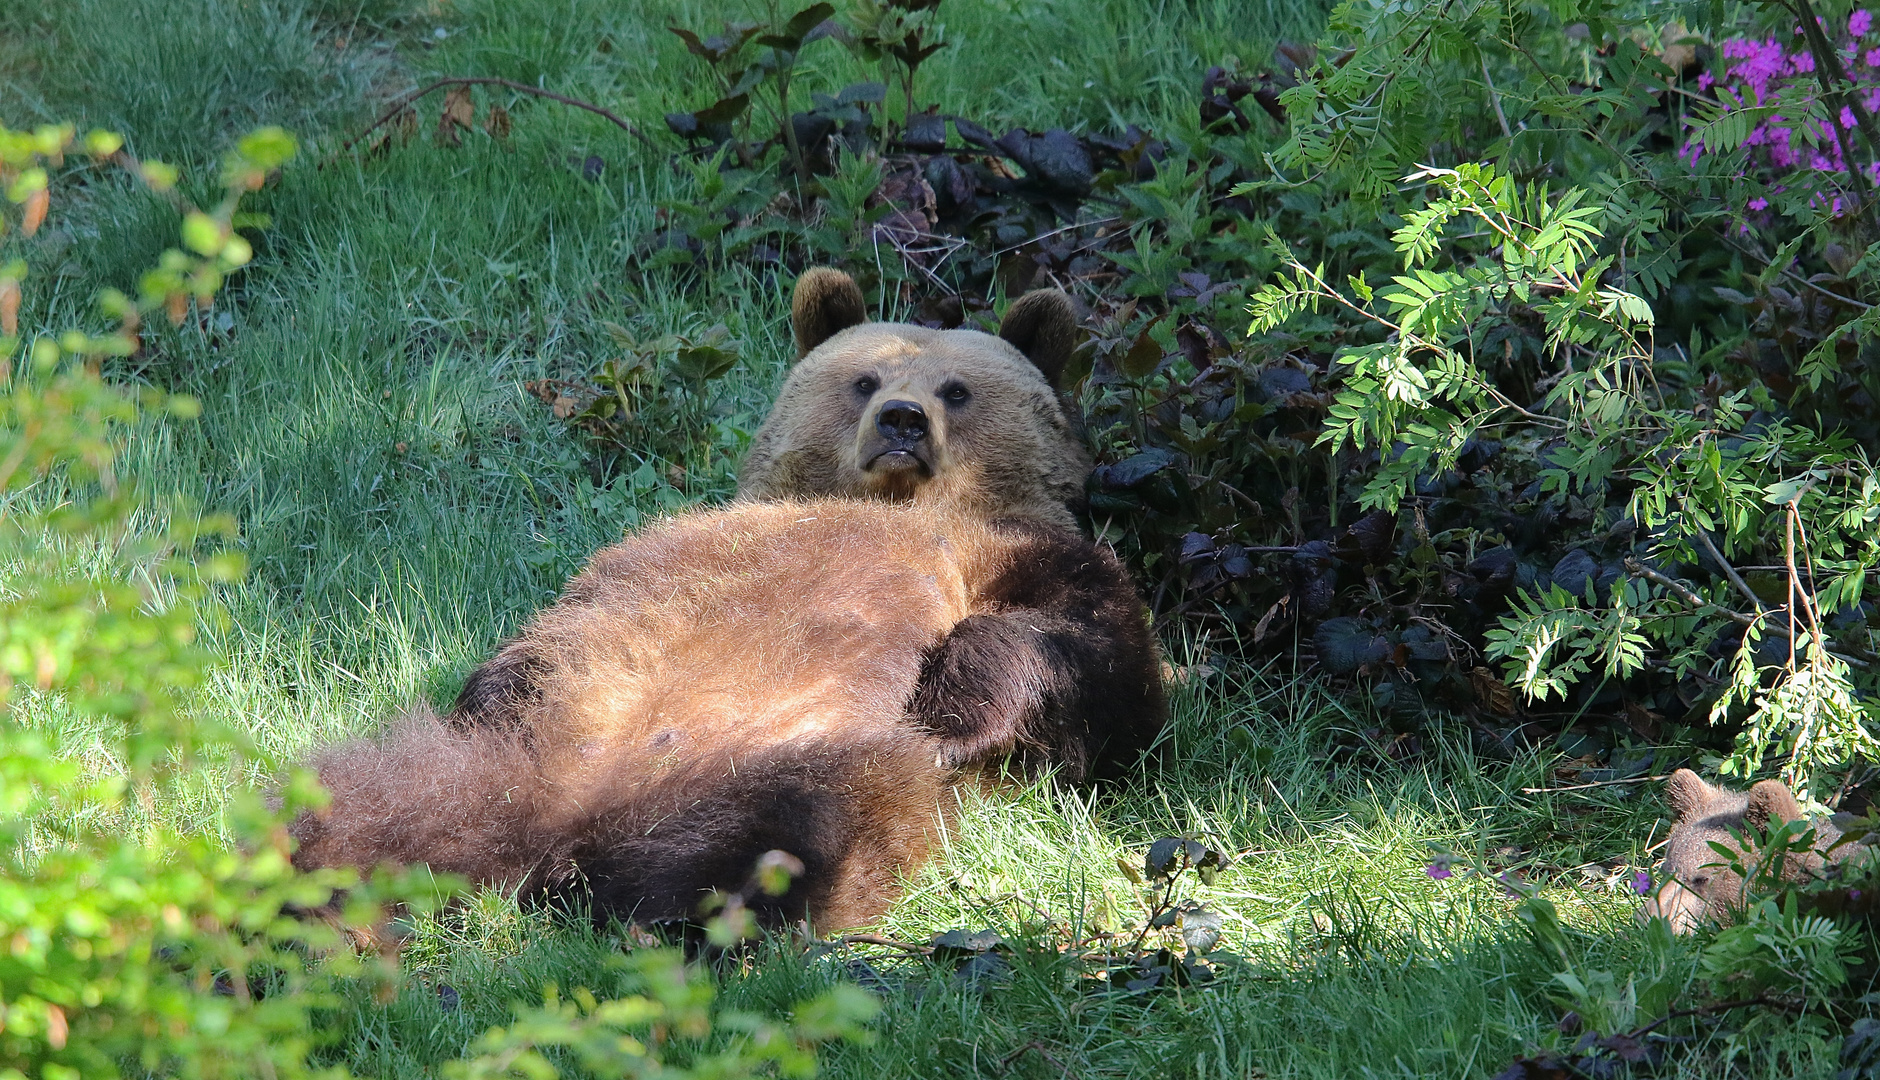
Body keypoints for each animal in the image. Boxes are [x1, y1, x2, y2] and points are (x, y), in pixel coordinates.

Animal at [289, 269, 1158, 933]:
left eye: (958, 389)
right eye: (864, 380)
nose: (903, 421)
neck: (909, 507)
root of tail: (565, 817)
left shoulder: (1018, 552)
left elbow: (1094, 664)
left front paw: (956, 704)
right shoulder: (679, 545)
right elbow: (559, 622)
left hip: (800, 764)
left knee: (800, 835)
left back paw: (688, 914)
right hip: (473, 767)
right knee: (358, 810)